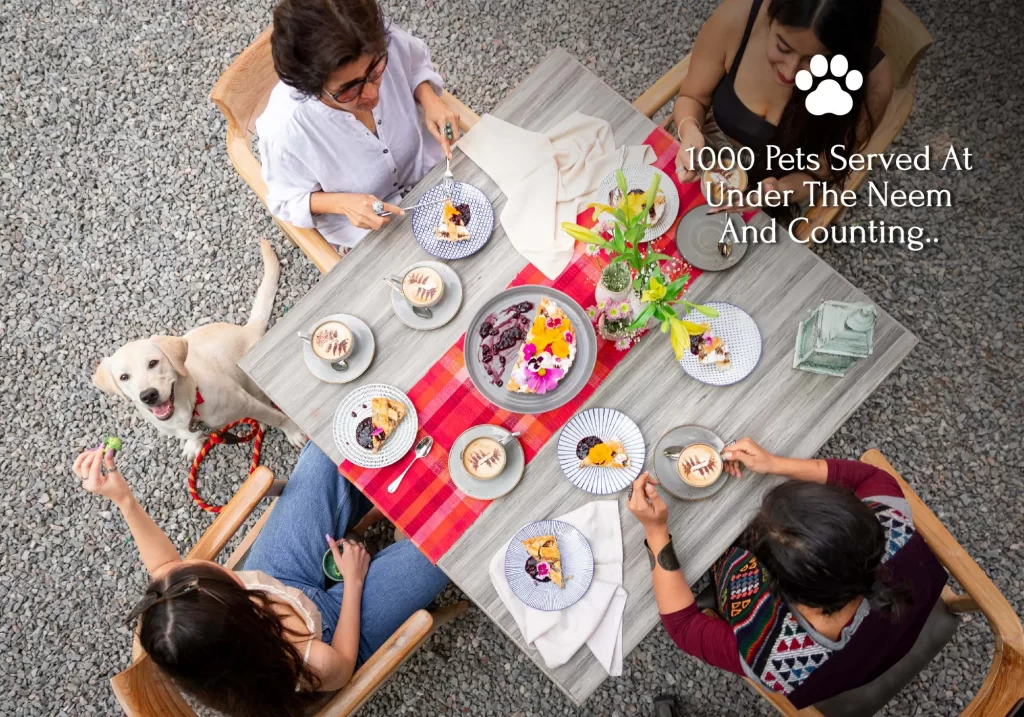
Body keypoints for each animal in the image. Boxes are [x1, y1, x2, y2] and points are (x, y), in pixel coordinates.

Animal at [93, 237, 303, 456]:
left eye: (153, 362)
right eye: (124, 377)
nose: (148, 395)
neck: (190, 408)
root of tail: (248, 329)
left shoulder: (246, 403)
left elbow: (277, 417)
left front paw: (292, 431)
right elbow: (194, 435)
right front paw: (194, 444)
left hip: (252, 384)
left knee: (265, 400)